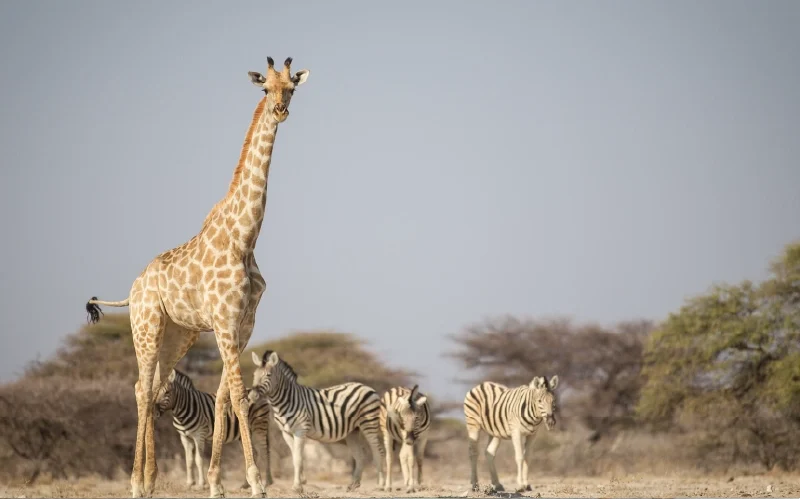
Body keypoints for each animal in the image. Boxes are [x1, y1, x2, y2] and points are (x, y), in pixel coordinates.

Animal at [84, 56, 310, 499]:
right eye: (265, 88)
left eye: (292, 88)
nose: (280, 110)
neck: (244, 237)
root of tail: (133, 288)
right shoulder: (224, 321)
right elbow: (238, 395)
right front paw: (255, 482)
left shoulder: (243, 325)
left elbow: (223, 398)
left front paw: (216, 483)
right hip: (146, 326)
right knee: (141, 389)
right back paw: (135, 483)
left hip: (179, 333)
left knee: (154, 387)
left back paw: (151, 480)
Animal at [248, 350, 386, 493]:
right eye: (254, 375)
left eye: (268, 375)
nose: (251, 396)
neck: (285, 401)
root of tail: (367, 387)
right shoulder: (286, 433)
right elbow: (294, 457)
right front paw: (301, 482)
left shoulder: (300, 430)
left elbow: (298, 458)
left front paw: (297, 486)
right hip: (353, 431)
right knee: (360, 455)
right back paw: (353, 484)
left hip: (369, 423)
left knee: (378, 452)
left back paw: (380, 485)